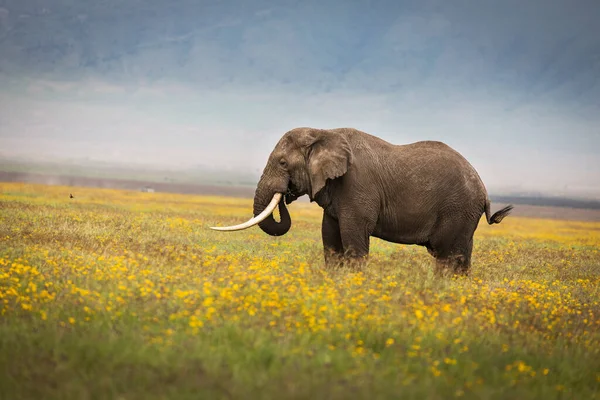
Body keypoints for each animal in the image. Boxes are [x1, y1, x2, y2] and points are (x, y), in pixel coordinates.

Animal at [210, 128, 510, 276]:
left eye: (283, 163)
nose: (287, 193)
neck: (323, 132)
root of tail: (483, 190)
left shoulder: (357, 184)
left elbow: (353, 233)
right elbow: (330, 235)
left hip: (458, 209)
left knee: (448, 255)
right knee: (461, 255)